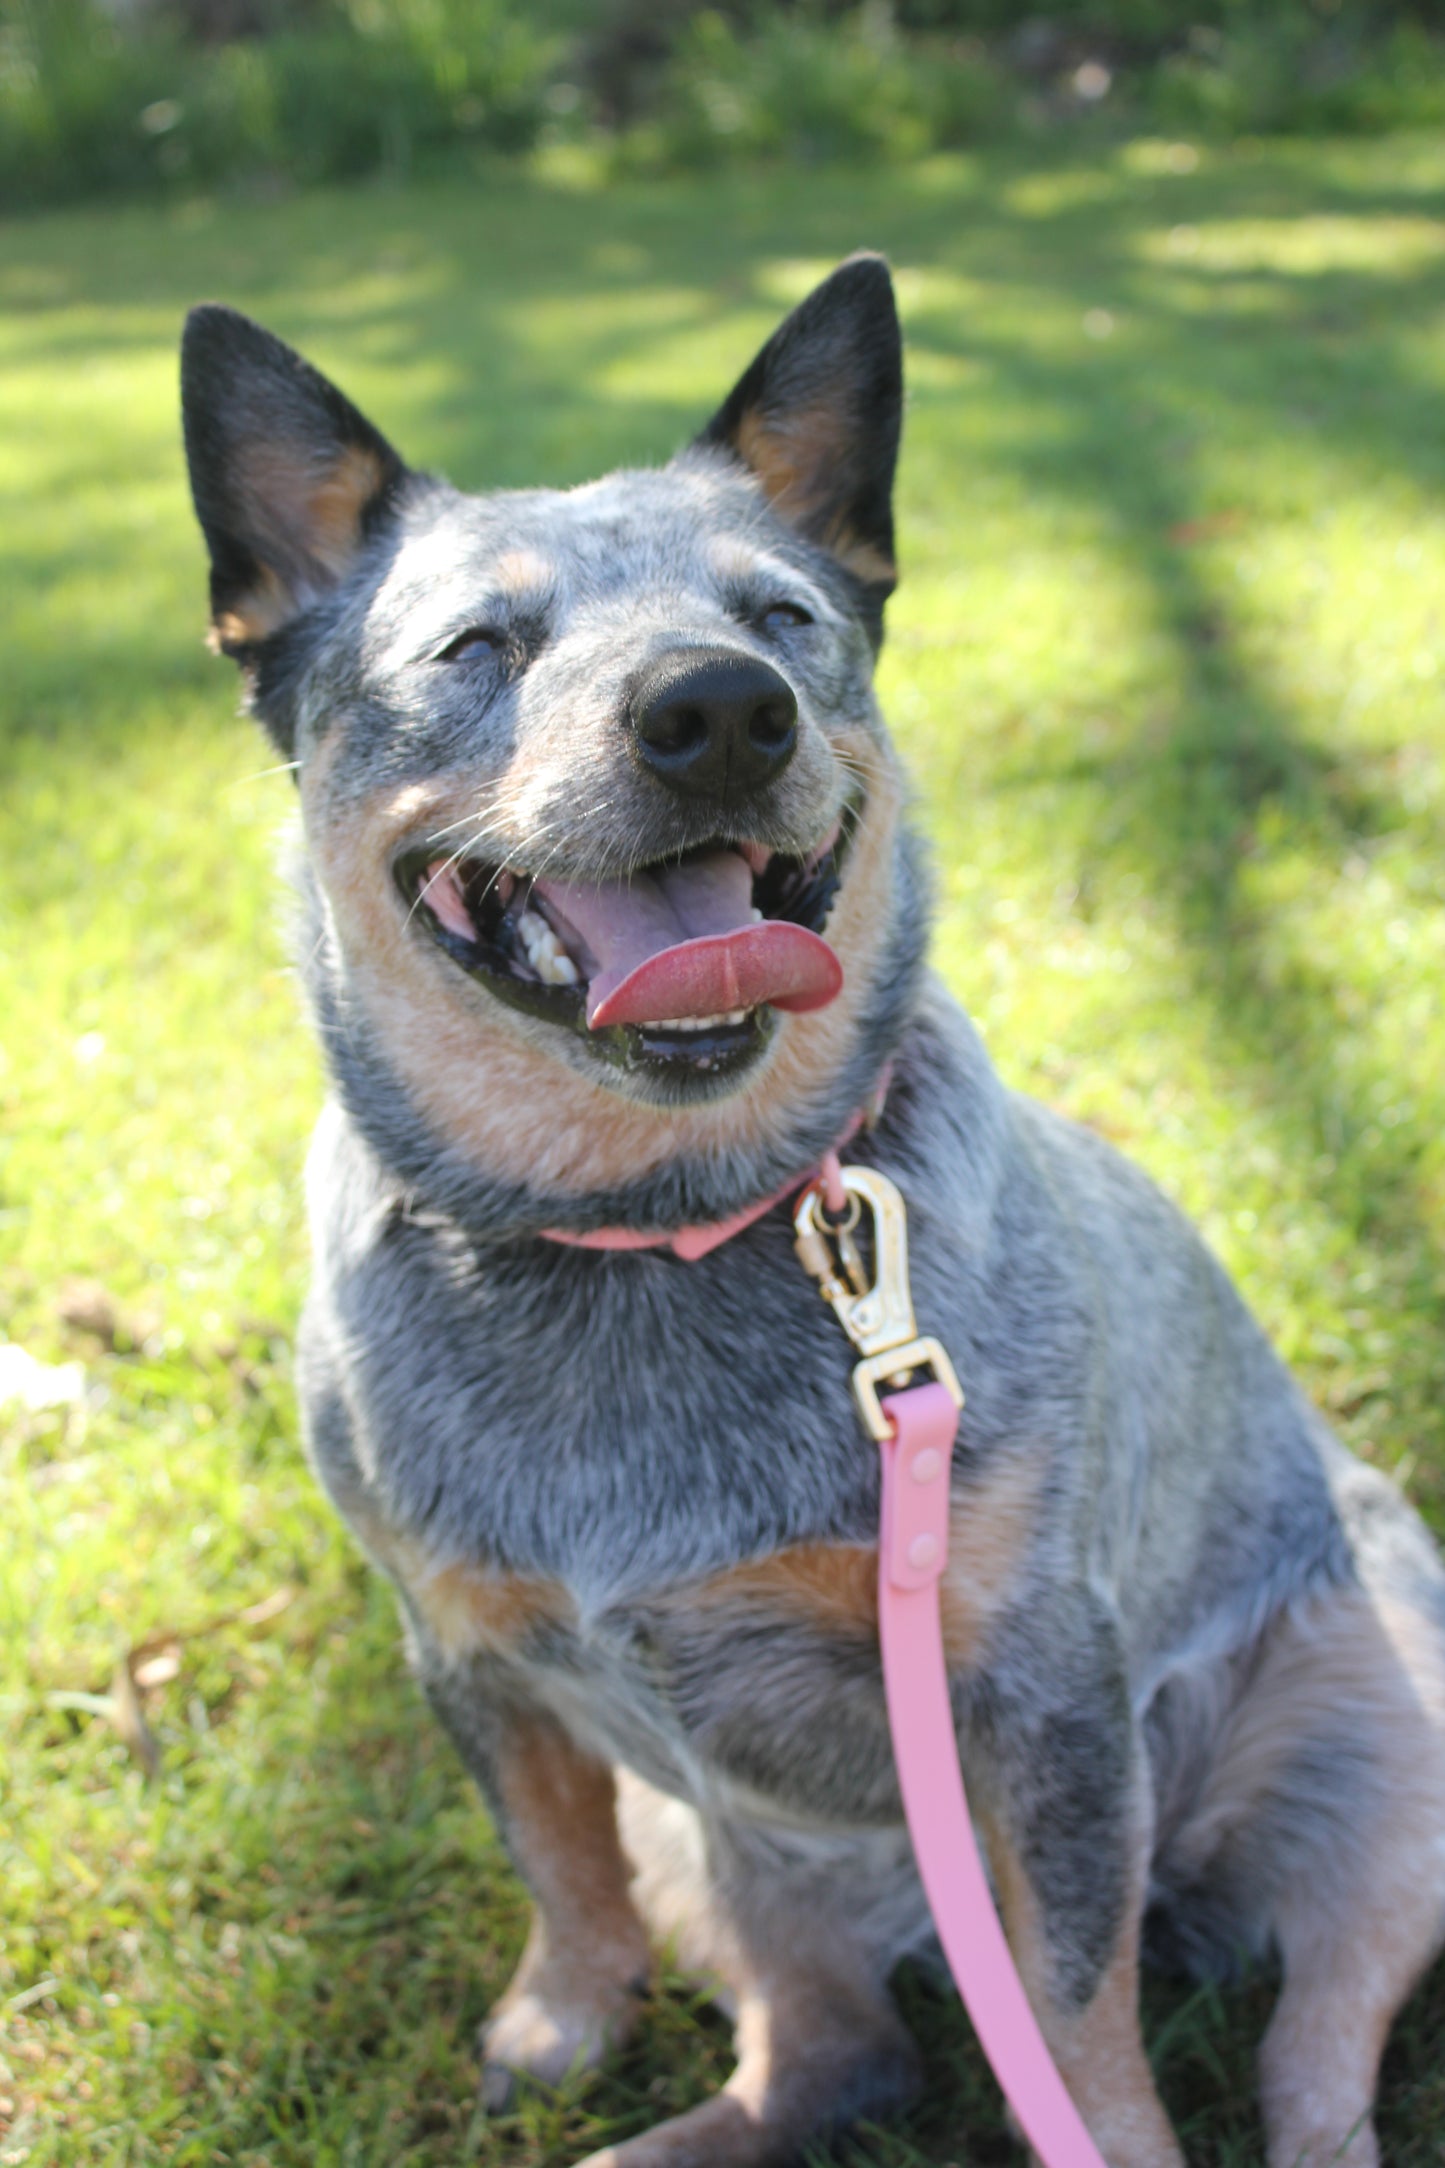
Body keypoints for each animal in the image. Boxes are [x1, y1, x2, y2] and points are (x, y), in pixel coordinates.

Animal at [180, 257, 1445, 2168]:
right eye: (480, 647)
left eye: (780, 618)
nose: (717, 708)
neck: (653, 1230)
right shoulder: (466, 1646)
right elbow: (555, 1863)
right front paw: (562, 2019)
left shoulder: (1034, 1688)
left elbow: (1078, 2020)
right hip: (724, 1853)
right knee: (830, 2054)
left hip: (1394, 1738)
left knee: (1312, 2047)